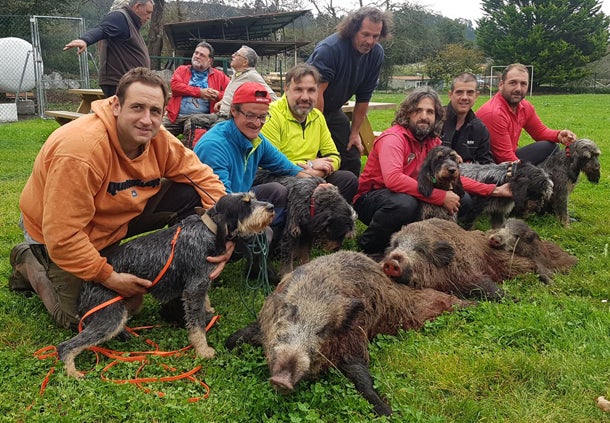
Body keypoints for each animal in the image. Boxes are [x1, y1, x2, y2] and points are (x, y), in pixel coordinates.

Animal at [55, 194, 274, 380]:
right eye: (245, 204)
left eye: (253, 197)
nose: (271, 207)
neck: (208, 231)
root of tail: (86, 284)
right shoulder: (194, 288)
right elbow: (197, 326)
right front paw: (203, 350)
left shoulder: (199, 285)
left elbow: (204, 304)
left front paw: (208, 311)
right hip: (110, 317)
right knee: (65, 346)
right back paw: (72, 372)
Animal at [223, 252, 466, 418]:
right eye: (290, 314)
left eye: (323, 329)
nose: (281, 380)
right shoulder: (262, 326)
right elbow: (233, 339)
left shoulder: (355, 343)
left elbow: (363, 381)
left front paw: (390, 413)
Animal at [380, 219, 536, 302]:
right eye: (396, 245)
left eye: (420, 250)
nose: (392, 262)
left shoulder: (468, 275)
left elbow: (487, 287)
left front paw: (519, 300)